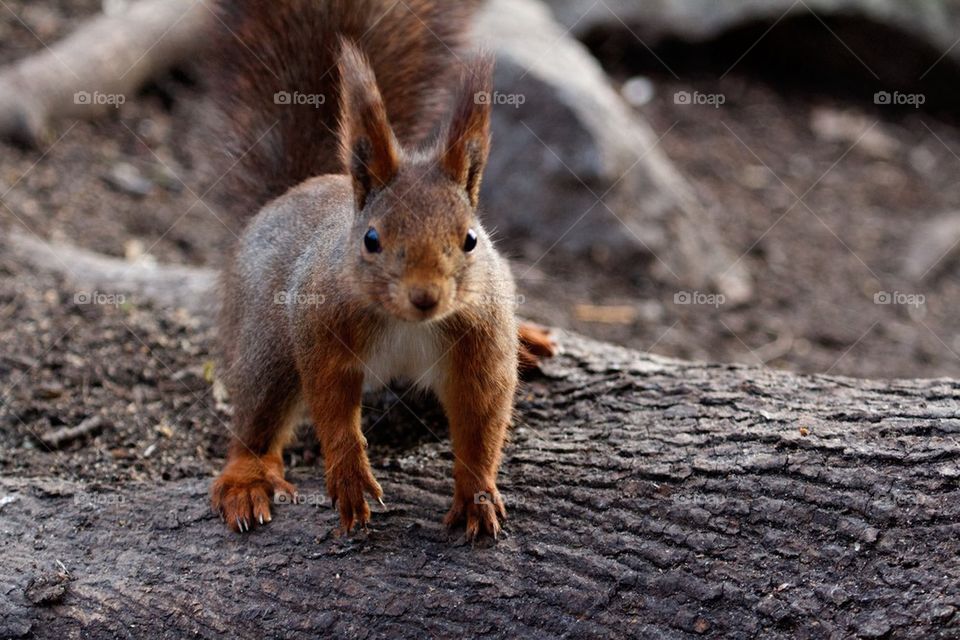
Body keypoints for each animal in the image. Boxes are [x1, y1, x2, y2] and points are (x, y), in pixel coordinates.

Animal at [208, 0, 555, 540]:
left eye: (471, 239)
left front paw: (476, 496)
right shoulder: (322, 332)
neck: (408, 324)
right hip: (268, 342)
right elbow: (332, 408)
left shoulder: (481, 344)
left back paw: (530, 337)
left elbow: (482, 421)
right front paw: (350, 477)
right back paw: (245, 480)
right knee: (257, 416)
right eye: (371, 240)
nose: (425, 297)